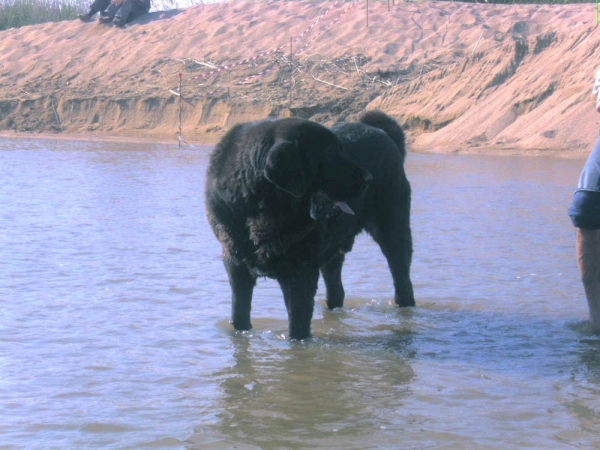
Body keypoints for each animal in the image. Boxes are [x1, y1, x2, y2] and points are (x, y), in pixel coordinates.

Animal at [205, 110, 412, 340]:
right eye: (330, 152)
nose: (368, 178)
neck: (261, 207)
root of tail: (383, 133)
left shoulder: (299, 274)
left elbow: (298, 325)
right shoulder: (236, 266)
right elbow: (239, 315)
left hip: (393, 232)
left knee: (402, 277)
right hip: (333, 250)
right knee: (335, 287)